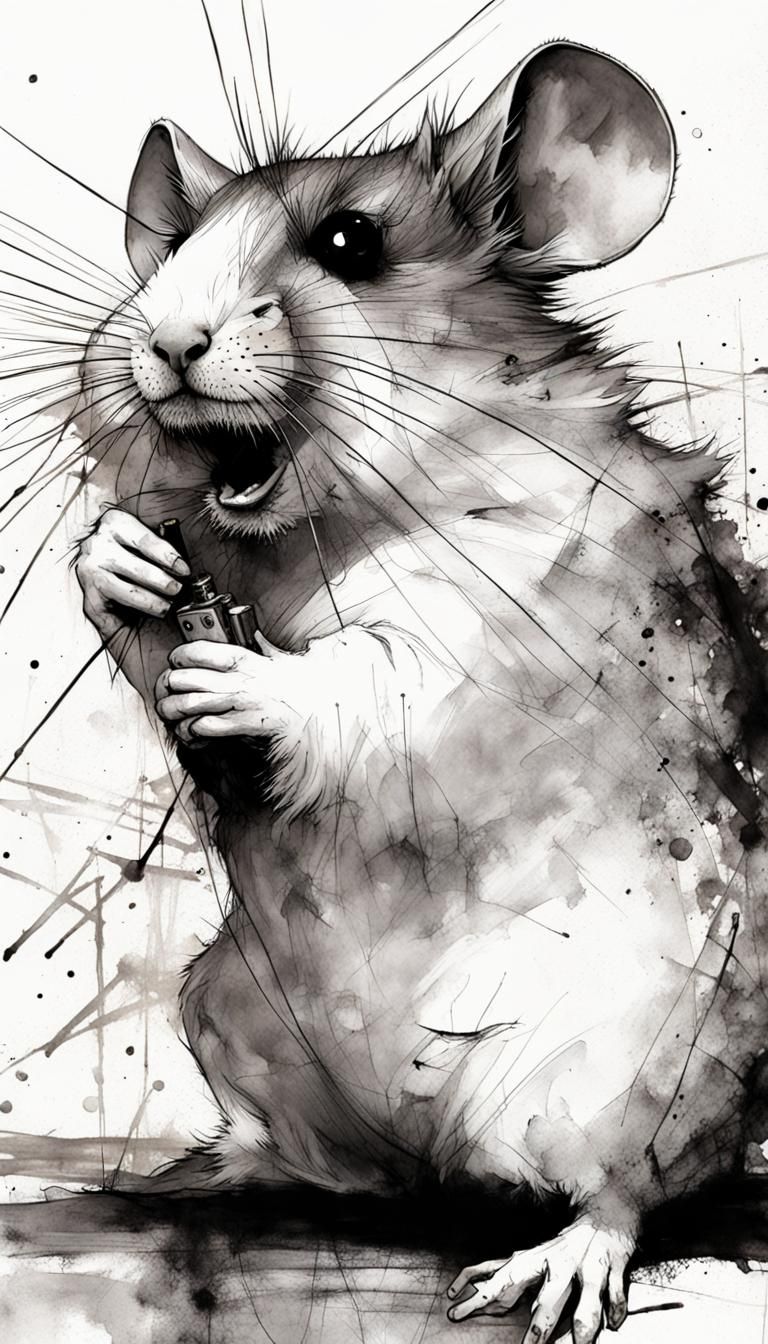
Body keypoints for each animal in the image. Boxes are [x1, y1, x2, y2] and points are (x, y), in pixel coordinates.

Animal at [71, 38, 768, 1341]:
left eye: (350, 242)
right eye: (179, 241)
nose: (169, 342)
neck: (317, 533)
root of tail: (431, 1151)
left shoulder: (504, 600)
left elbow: (382, 675)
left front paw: (241, 680)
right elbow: (139, 587)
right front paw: (124, 563)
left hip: (623, 1061)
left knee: (624, 1188)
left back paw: (556, 1272)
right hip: (225, 1007)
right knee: (337, 1162)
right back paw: (217, 1164)